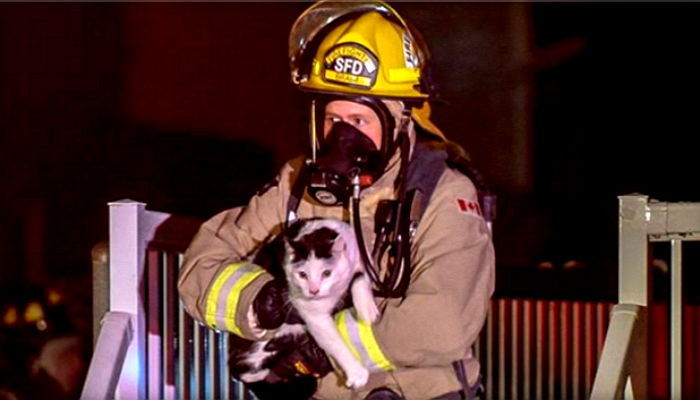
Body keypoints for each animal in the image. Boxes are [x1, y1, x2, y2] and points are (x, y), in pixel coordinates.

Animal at [231, 219, 380, 390]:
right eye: (302, 274)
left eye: (326, 273)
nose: (313, 290)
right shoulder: (313, 314)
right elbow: (333, 340)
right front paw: (356, 372)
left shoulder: (361, 255)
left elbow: (360, 276)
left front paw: (367, 310)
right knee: (246, 369)